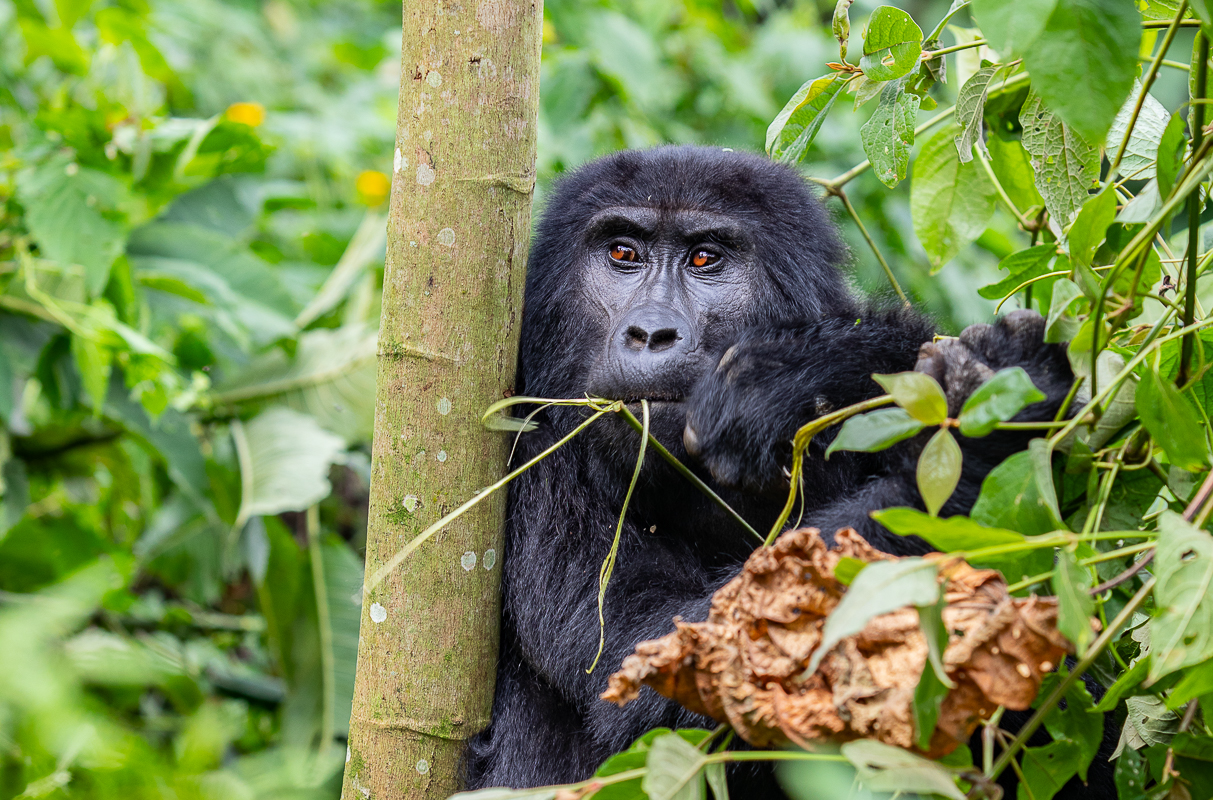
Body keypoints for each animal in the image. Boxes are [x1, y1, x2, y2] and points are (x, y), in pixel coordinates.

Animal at [465, 146, 1091, 795]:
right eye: (622, 255)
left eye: (704, 258)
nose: (650, 333)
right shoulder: (532, 451)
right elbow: (655, 663)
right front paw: (983, 431)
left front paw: (796, 374)